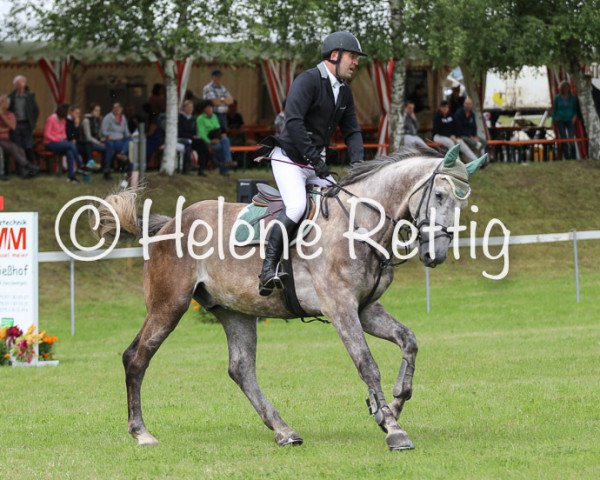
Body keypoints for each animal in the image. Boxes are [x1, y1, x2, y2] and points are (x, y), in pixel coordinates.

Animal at [95, 144, 488, 452]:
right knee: (136, 357)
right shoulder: (341, 308)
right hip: (169, 305)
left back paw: (284, 430)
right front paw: (393, 430)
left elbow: (409, 341)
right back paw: (142, 433)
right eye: (439, 195)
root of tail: (168, 224)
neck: (359, 223)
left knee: (241, 369)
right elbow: (366, 363)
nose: (436, 253)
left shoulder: (365, 309)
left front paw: (391, 404)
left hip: (235, 310)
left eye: (463, 201)